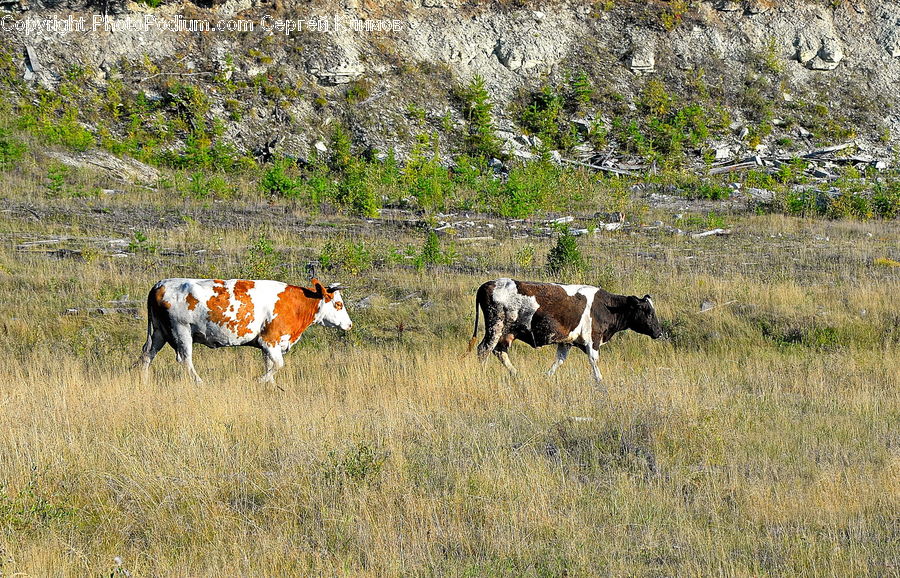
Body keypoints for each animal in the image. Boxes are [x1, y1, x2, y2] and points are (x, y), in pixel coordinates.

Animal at [138, 277, 352, 384]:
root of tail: (160, 284)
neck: (296, 304)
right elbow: (278, 365)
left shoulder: (269, 346)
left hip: (159, 332)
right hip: (181, 330)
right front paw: (259, 380)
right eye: (339, 304)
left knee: (147, 355)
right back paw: (199, 382)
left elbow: (271, 366)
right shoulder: (270, 340)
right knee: (185, 359)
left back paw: (144, 381)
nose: (349, 324)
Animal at [468, 278, 662, 384]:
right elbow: (594, 361)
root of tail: (487, 285)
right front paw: (600, 381)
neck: (605, 307)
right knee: (484, 350)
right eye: (648, 312)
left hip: (506, 333)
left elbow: (559, 360)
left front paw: (546, 376)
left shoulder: (566, 342)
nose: (659, 332)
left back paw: (516, 373)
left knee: (500, 352)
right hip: (495, 327)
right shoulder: (592, 340)